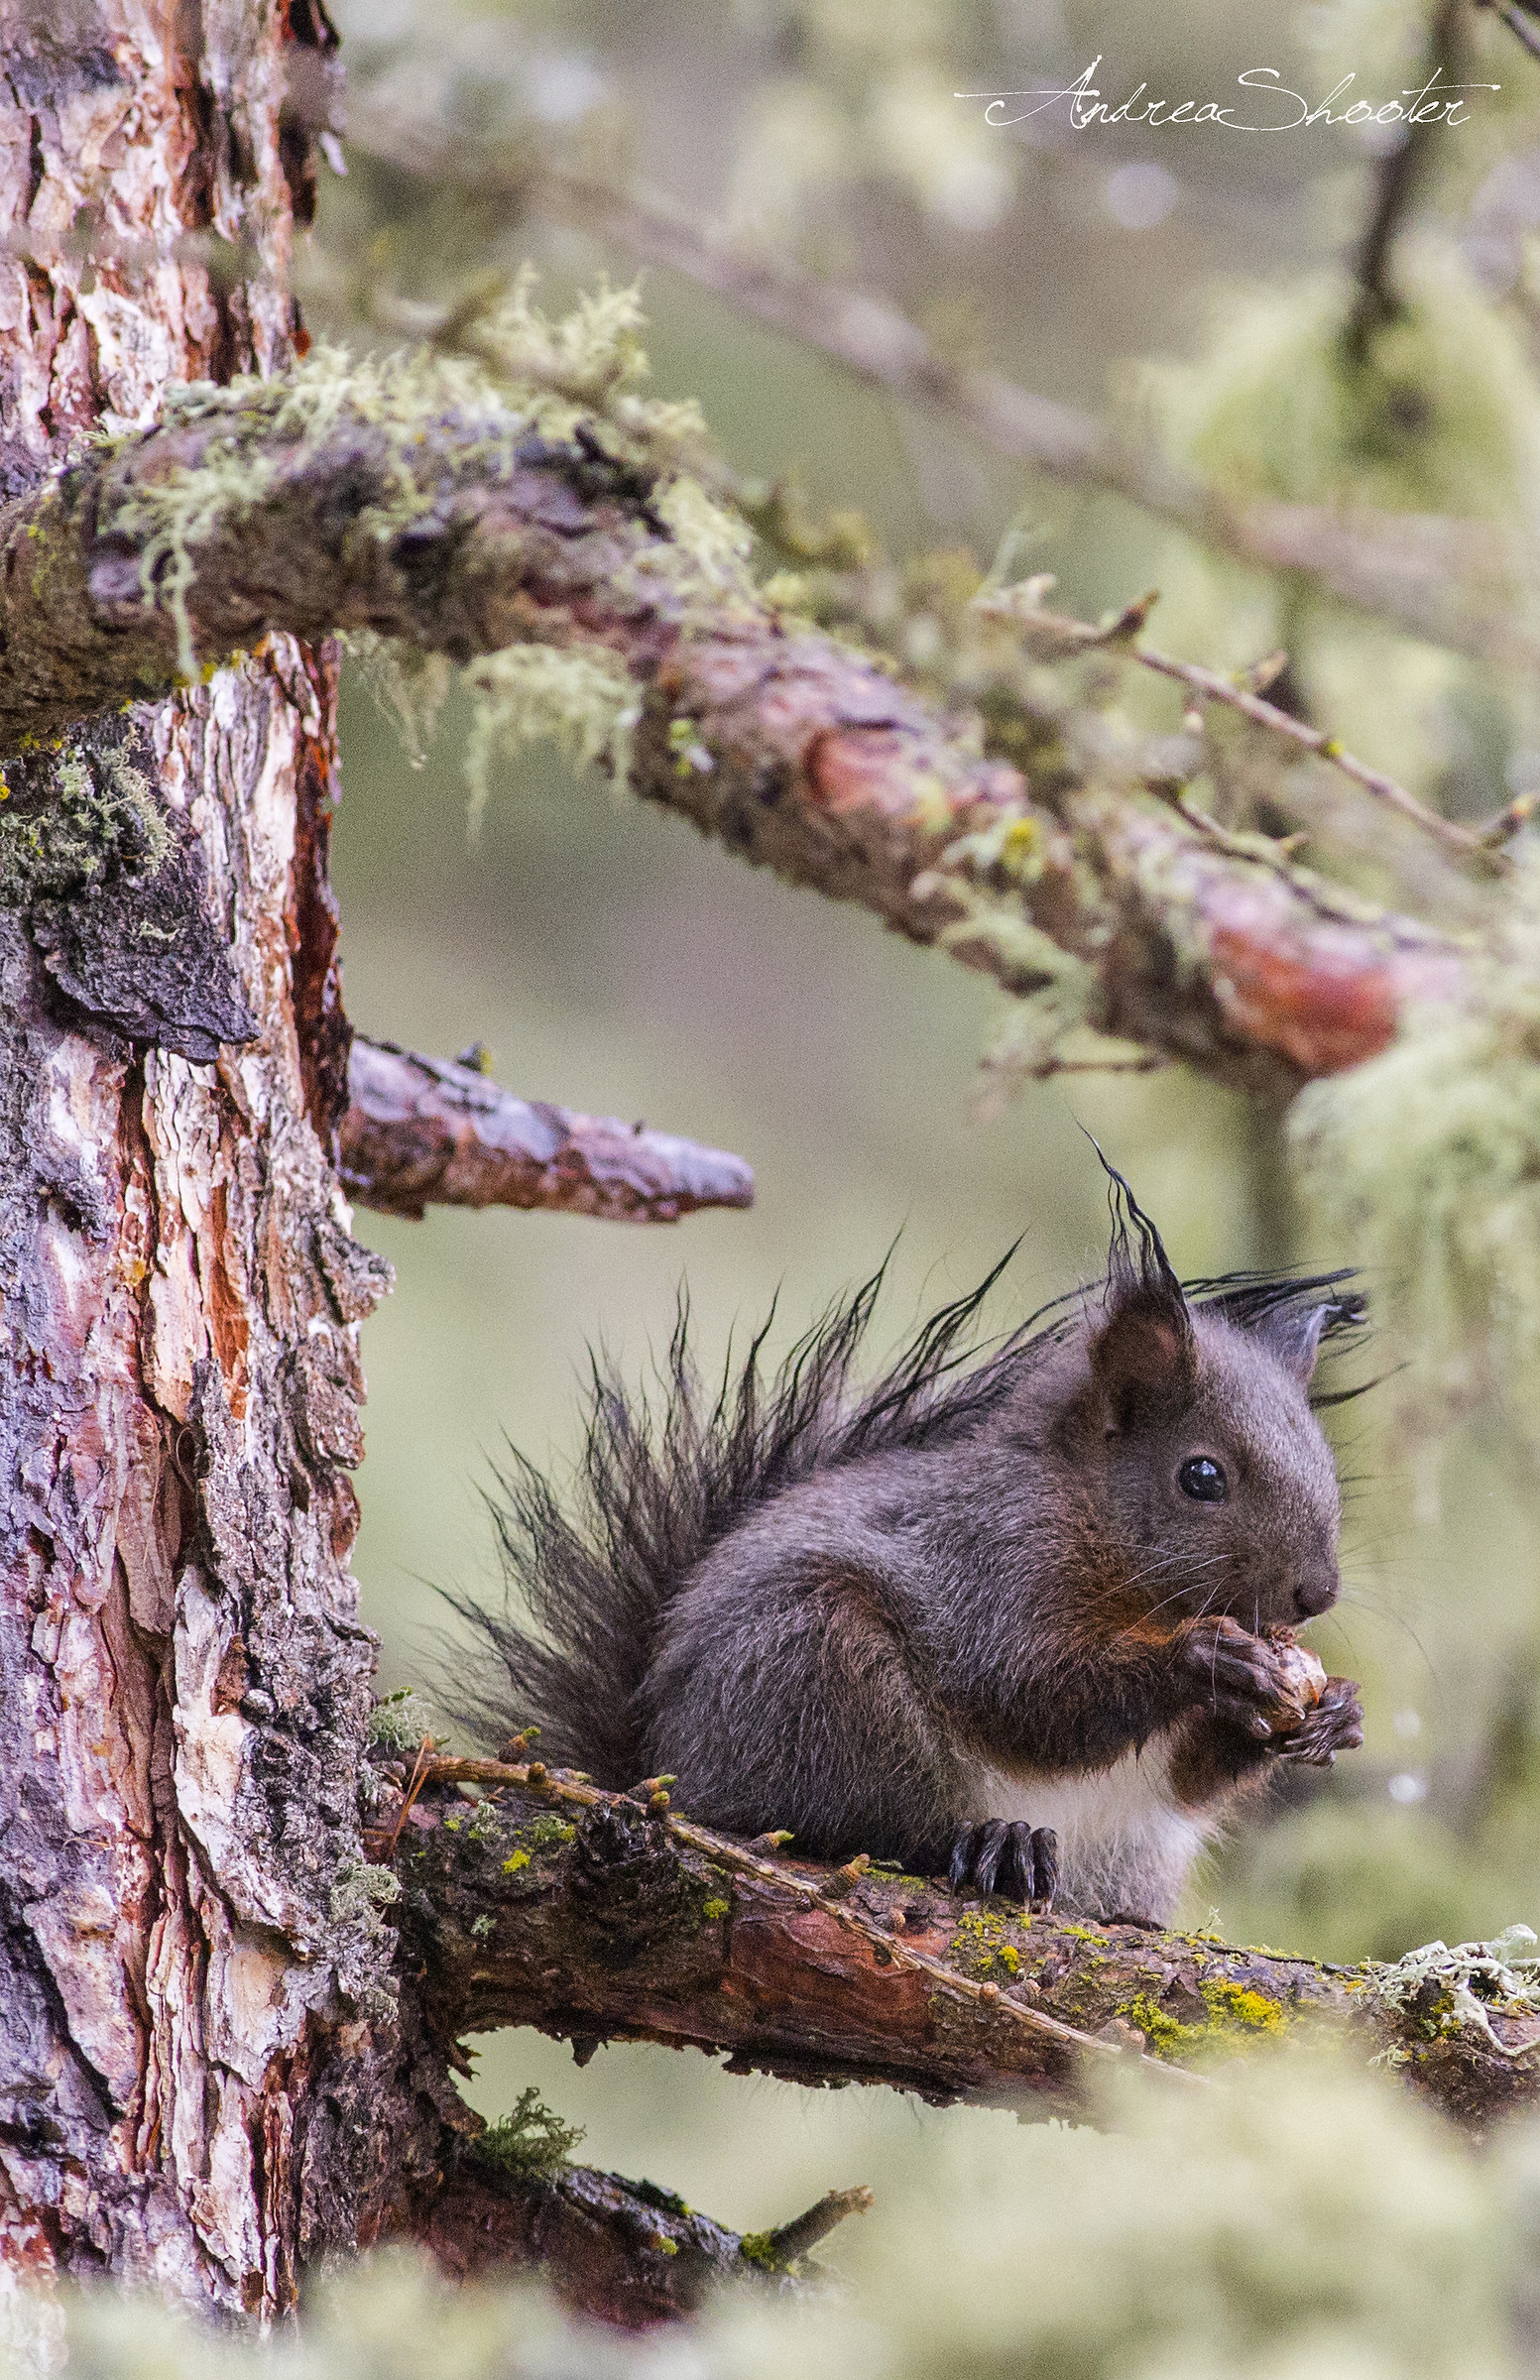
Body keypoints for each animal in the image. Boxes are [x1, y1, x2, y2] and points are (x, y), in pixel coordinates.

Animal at [446, 1163, 1368, 1924]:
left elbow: (1187, 1780)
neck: (1101, 1533)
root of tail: (660, 1769)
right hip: (818, 1674)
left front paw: (1329, 1716)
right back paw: (994, 1842)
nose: (1315, 1594)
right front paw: (1204, 1661)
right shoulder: (990, 1561)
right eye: (1201, 1477)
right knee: (871, 1825)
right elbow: (1028, 1697)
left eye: (1326, 1464)